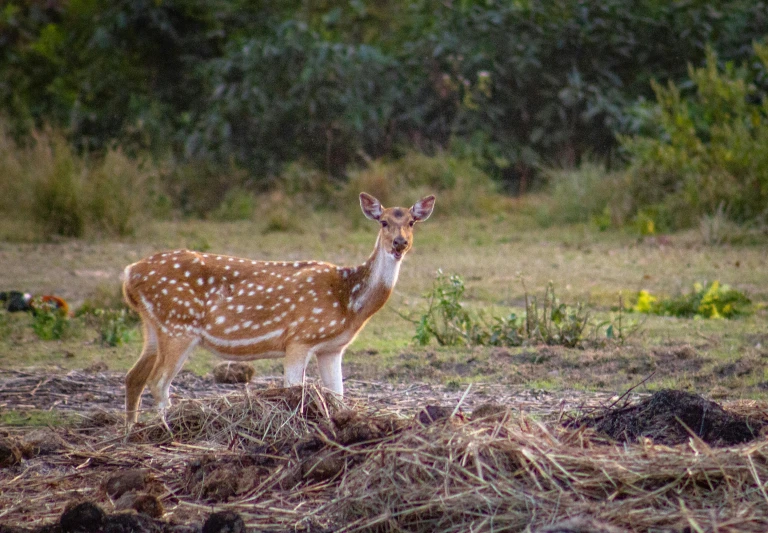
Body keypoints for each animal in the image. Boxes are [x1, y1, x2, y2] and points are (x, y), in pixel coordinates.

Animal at [120, 191, 432, 420]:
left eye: (412, 222)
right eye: (383, 222)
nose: (400, 243)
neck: (349, 302)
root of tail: (129, 274)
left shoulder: (332, 348)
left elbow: (338, 396)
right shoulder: (299, 338)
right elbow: (294, 391)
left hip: (154, 326)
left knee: (133, 377)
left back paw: (131, 433)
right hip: (177, 325)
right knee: (158, 382)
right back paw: (165, 430)